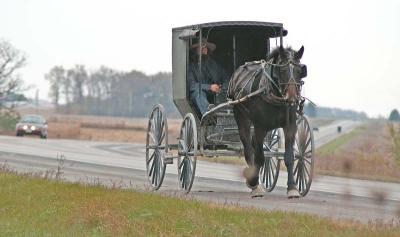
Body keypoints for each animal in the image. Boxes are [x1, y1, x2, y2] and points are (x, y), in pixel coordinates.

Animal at [228, 45, 306, 197]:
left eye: (300, 70)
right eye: (282, 70)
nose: (292, 98)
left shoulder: (290, 126)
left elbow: (289, 156)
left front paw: (292, 188)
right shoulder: (260, 126)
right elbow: (259, 157)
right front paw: (254, 184)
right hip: (241, 116)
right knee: (248, 146)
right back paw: (253, 180)